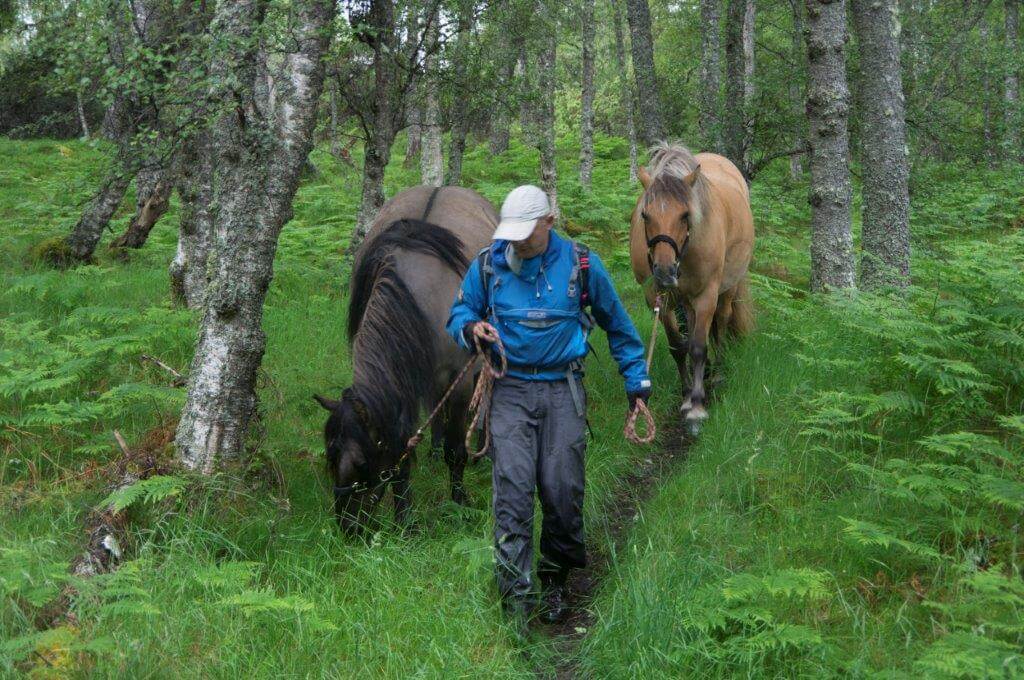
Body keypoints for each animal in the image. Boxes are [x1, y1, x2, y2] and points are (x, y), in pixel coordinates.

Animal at [315, 186, 499, 532]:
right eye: (330, 456)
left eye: (361, 463)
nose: (348, 528)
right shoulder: (404, 381)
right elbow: (402, 450)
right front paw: (405, 521)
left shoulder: (459, 380)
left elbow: (456, 451)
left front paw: (459, 501)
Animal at [626, 142, 757, 436]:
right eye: (645, 215)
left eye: (685, 215)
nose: (664, 272)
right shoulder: (658, 298)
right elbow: (678, 346)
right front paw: (687, 394)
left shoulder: (706, 295)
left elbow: (697, 346)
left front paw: (696, 408)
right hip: (685, 299)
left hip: (726, 289)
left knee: (721, 321)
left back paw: (717, 372)